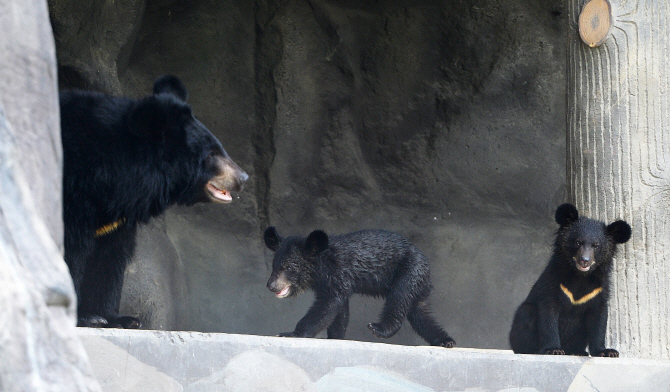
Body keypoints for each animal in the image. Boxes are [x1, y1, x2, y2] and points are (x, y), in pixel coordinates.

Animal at [60, 76, 248, 328]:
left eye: (220, 148)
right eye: (210, 154)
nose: (242, 178)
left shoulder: (114, 215)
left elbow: (109, 257)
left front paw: (117, 318)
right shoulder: (74, 195)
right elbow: (72, 249)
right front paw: (83, 316)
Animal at [262, 227, 456, 346]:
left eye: (288, 267)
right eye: (274, 266)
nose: (271, 286)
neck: (320, 264)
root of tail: (425, 263)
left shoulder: (336, 272)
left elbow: (327, 305)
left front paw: (292, 333)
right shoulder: (336, 281)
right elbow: (340, 312)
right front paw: (335, 337)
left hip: (408, 271)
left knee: (399, 299)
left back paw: (379, 328)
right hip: (418, 284)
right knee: (420, 313)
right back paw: (445, 340)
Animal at [512, 204, 632, 356]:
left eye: (596, 245)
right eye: (578, 242)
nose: (585, 260)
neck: (580, 276)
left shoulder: (597, 290)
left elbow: (599, 319)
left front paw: (608, 352)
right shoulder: (553, 282)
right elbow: (548, 315)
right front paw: (553, 349)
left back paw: (578, 351)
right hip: (522, 323)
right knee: (526, 313)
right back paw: (533, 350)